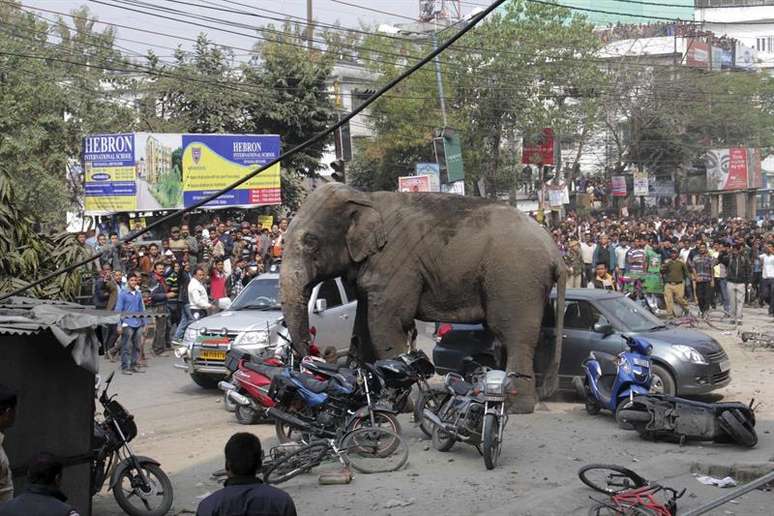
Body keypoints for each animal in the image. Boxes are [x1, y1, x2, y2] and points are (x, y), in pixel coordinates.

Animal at [278, 183, 564, 414]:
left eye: (311, 242)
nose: (316, 352)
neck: (365, 198)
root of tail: (555, 251)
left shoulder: (396, 265)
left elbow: (387, 323)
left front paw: (398, 404)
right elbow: (363, 325)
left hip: (516, 279)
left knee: (513, 334)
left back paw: (516, 406)